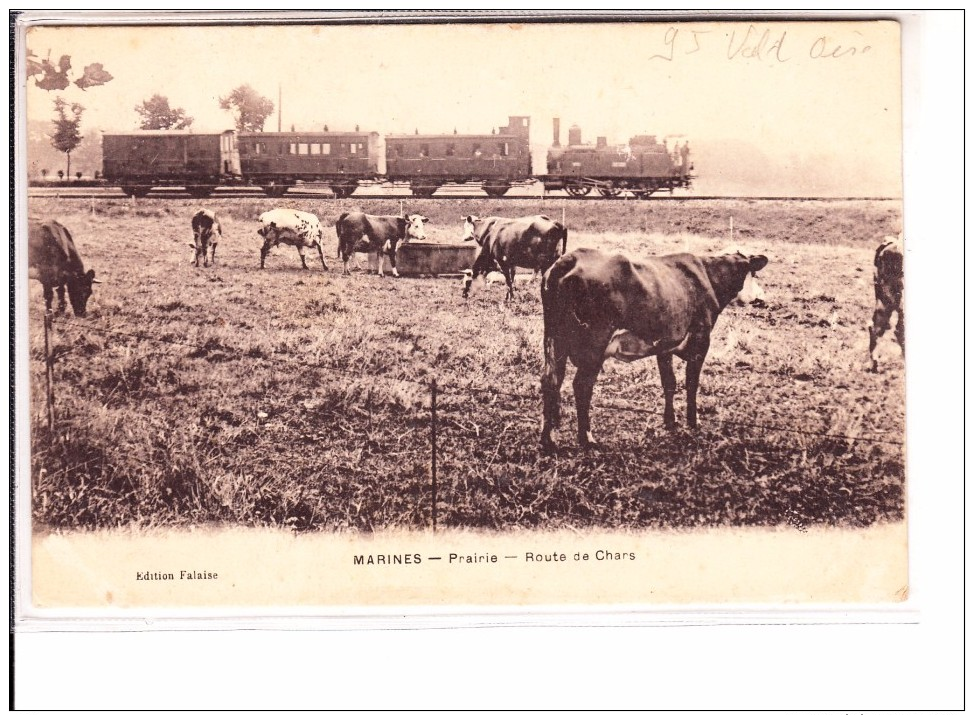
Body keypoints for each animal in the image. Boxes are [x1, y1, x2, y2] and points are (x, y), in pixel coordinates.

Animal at [540, 248, 772, 454]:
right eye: (753, 274)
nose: (761, 298)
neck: (708, 276)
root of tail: (570, 258)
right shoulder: (701, 339)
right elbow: (691, 383)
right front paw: (693, 421)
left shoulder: (665, 344)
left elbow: (669, 382)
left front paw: (670, 421)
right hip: (594, 346)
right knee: (581, 386)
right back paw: (587, 439)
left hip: (554, 340)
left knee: (550, 381)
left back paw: (548, 440)